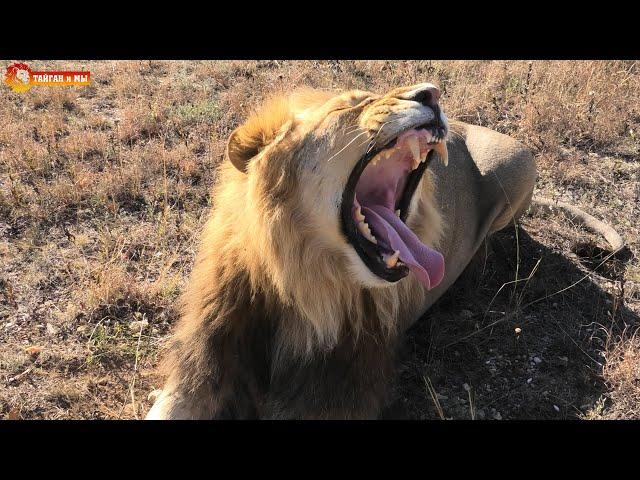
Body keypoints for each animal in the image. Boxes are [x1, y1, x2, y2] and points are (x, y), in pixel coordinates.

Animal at [146, 83, 624, 420]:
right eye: (348, 107)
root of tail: (469, 125)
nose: (431, 93)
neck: (304, 286)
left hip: (520, 165)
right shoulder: (202, 366)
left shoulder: (339, 390)